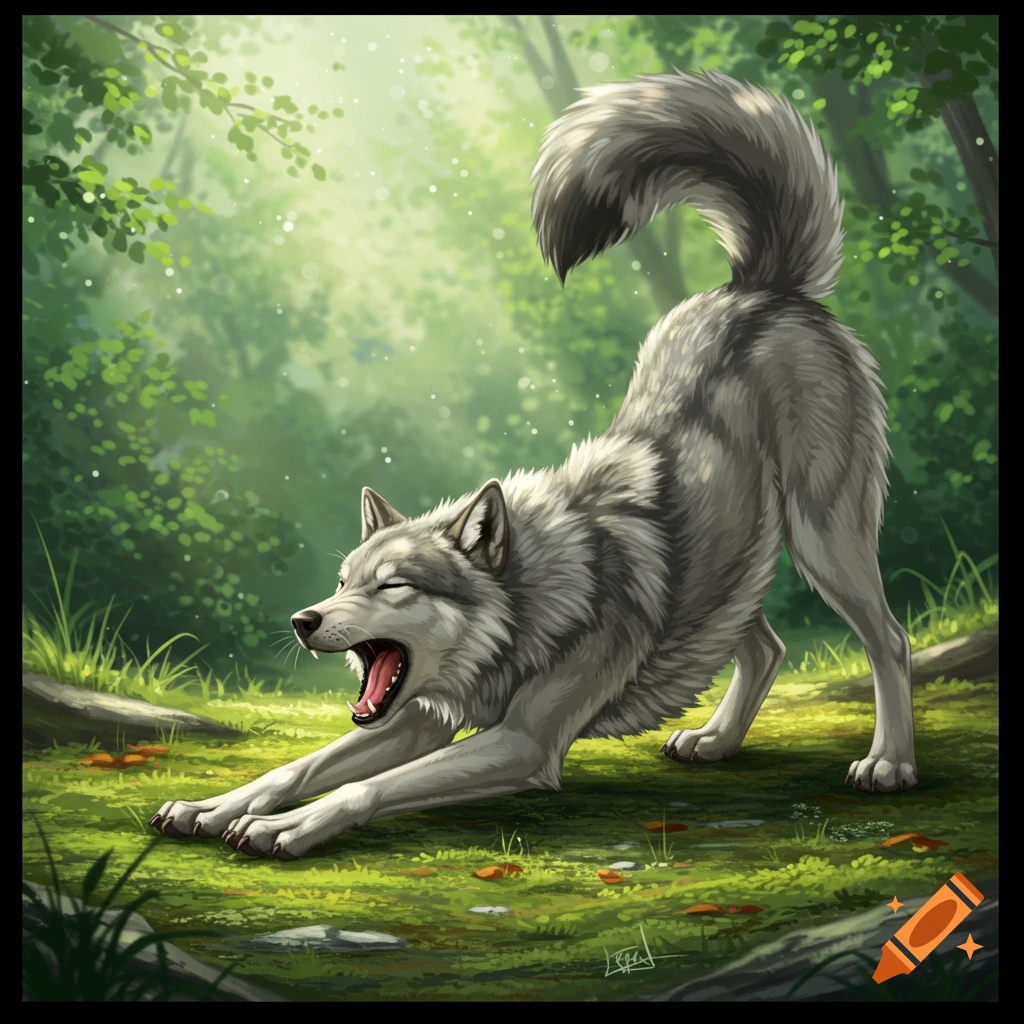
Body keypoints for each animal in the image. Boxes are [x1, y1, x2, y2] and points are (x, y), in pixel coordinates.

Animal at [151, 70, 916, 860]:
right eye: (341, 583)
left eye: (392, 586)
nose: (303, 620)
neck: (527, 605)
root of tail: (762, 288)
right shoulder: (422, 714)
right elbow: (297, 767)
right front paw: (212, 807)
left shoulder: (522, 741)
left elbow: (361, 788)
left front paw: (282, 827)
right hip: (733, 571)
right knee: (765, 647)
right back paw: (714, 740)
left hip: (823, 540)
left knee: (889, 640)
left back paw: (889, 764)